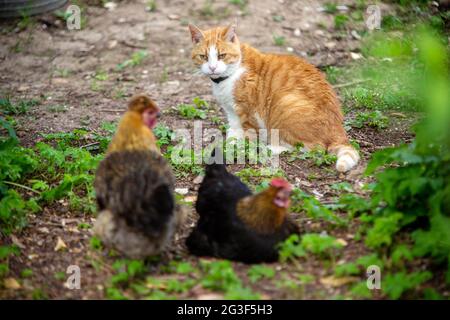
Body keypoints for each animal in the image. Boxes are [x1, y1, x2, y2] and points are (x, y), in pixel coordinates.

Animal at [186, 24, 358, 172]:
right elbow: (234, 131)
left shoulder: (248, 112)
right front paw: (231, 143)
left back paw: (273, 147)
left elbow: (248, 135)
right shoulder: (232, 111)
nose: (212, 68)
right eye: (203, 56)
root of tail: (338, 128)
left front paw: (242, 149)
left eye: (222, 55)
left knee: (313, 147)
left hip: (284, 104)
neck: (230, 75)